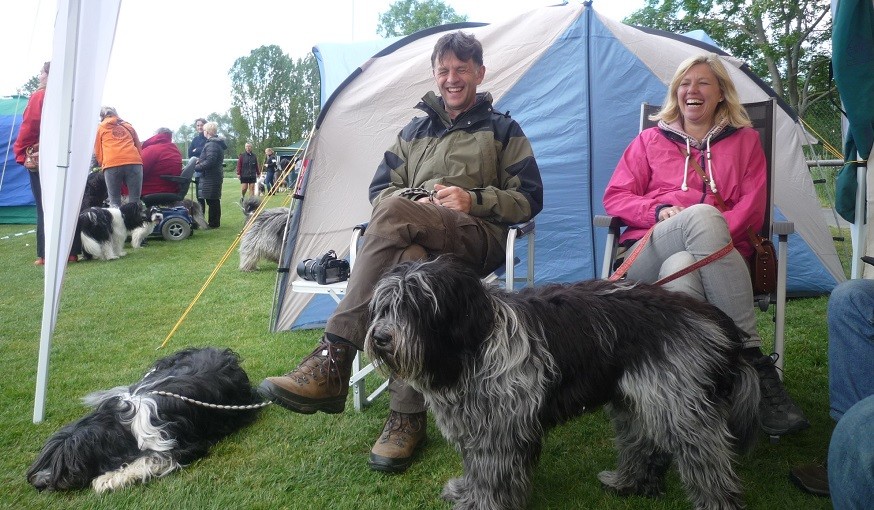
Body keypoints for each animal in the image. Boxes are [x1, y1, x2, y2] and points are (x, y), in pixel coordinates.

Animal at [28, 344, 266, 492]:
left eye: (71, 463)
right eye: (46, 459)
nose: (38, 483)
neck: (122, 426)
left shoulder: (181, 444)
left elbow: (149, 459)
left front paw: (107, 478)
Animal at [364, 258, 760, 510]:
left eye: (415, 304)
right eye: (383, 307)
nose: (381, 338)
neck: (475, 341)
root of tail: (705, 315)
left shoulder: (500, 430)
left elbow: (492, 475)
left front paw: (483, 504)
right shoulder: (478, 423)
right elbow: (476, 469)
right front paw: (466, 492)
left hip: (680, 407)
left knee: (708, 462)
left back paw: (716, 501)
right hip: (638, 399)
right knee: (644, 444)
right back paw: (629, 483)